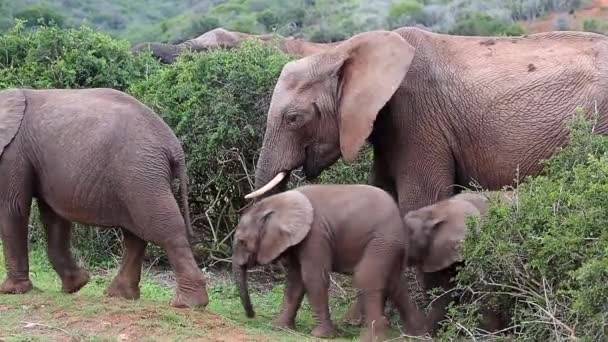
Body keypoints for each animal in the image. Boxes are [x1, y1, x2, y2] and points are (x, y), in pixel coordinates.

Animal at [0, 87, 209, 308]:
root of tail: (175, 147)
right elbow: (54, 216)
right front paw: (76, 285)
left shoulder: (12, 152)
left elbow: (13, 208)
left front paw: (11, 291)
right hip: (140, 175)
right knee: (135, 234)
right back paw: (119, 294)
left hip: (140, 172)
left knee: (162, 228)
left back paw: (187, 304)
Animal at [233, 184, 428, 342]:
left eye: (242, 242)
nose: (251, 315)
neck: (276, 202)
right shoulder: (299, 239)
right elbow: (295, 280)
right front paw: (279, 327)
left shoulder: (315, 234)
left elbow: (312, 277)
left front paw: (321, 335)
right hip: (391, 246)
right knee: (395, 284)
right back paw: (418, 334)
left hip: (382, 241)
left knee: (367, 278)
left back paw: (372, 337)